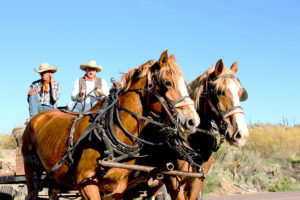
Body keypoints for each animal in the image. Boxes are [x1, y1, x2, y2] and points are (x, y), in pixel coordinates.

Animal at [21, 50, 199, 200]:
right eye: (167, 83)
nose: (193, 121)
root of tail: (38, 117)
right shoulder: (85, 181)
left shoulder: (117, 187)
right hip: (31, 169)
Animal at [123, 57, 248, 200]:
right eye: (220, 92)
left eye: (240, 93)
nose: (241, 135)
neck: (195, 145)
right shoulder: (172, 178)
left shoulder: (198, 181)